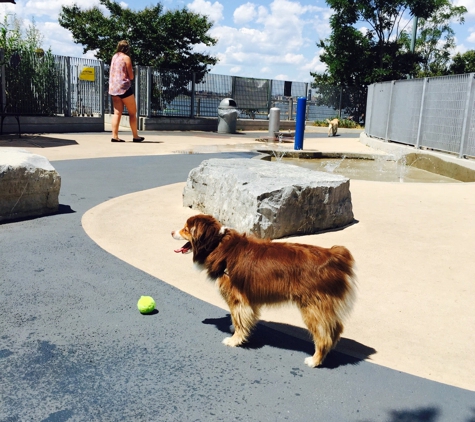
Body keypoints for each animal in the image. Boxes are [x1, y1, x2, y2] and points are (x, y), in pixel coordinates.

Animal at [172, 214, 356, 366]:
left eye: (186, 229)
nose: (172, 232)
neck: (216, 243)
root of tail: (333, 256)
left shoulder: (237, 297)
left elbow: (239, 319)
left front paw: (234, 340)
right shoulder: (247, 299)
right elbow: (241, 318)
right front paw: (235, 329)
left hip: (312, 307)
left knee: (324, 336)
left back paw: (315, 360)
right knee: (335, 329)